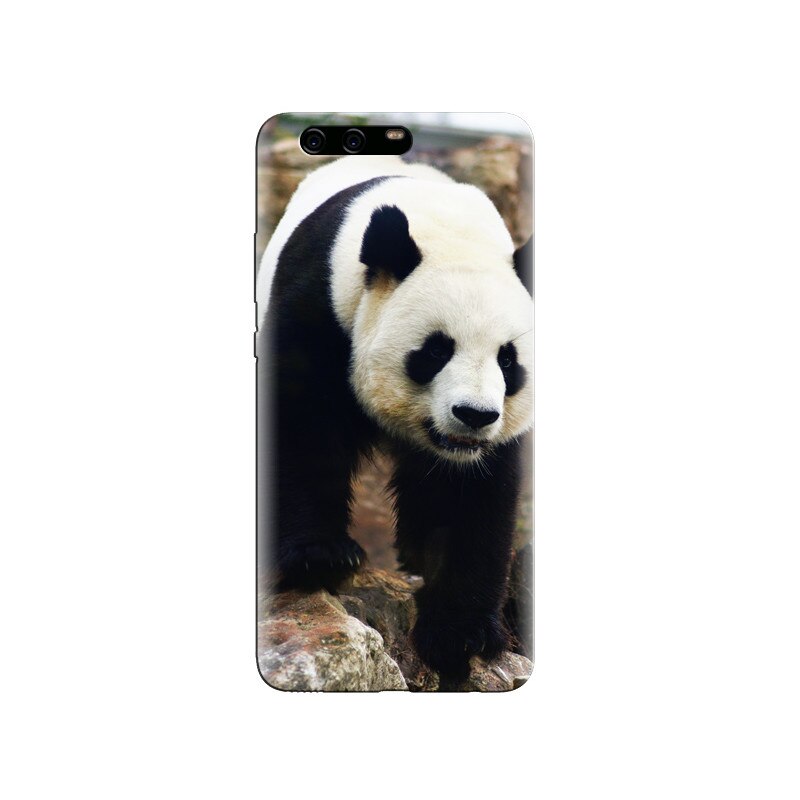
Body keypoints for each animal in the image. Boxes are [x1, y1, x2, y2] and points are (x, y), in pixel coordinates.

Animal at [256, 155, 533, 683]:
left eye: (508, 360)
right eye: (436, 350)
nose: (473, 415)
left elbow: (470, 495)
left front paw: (460, 633)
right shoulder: (321, 306)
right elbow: (302, 427)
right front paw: (319, 557)